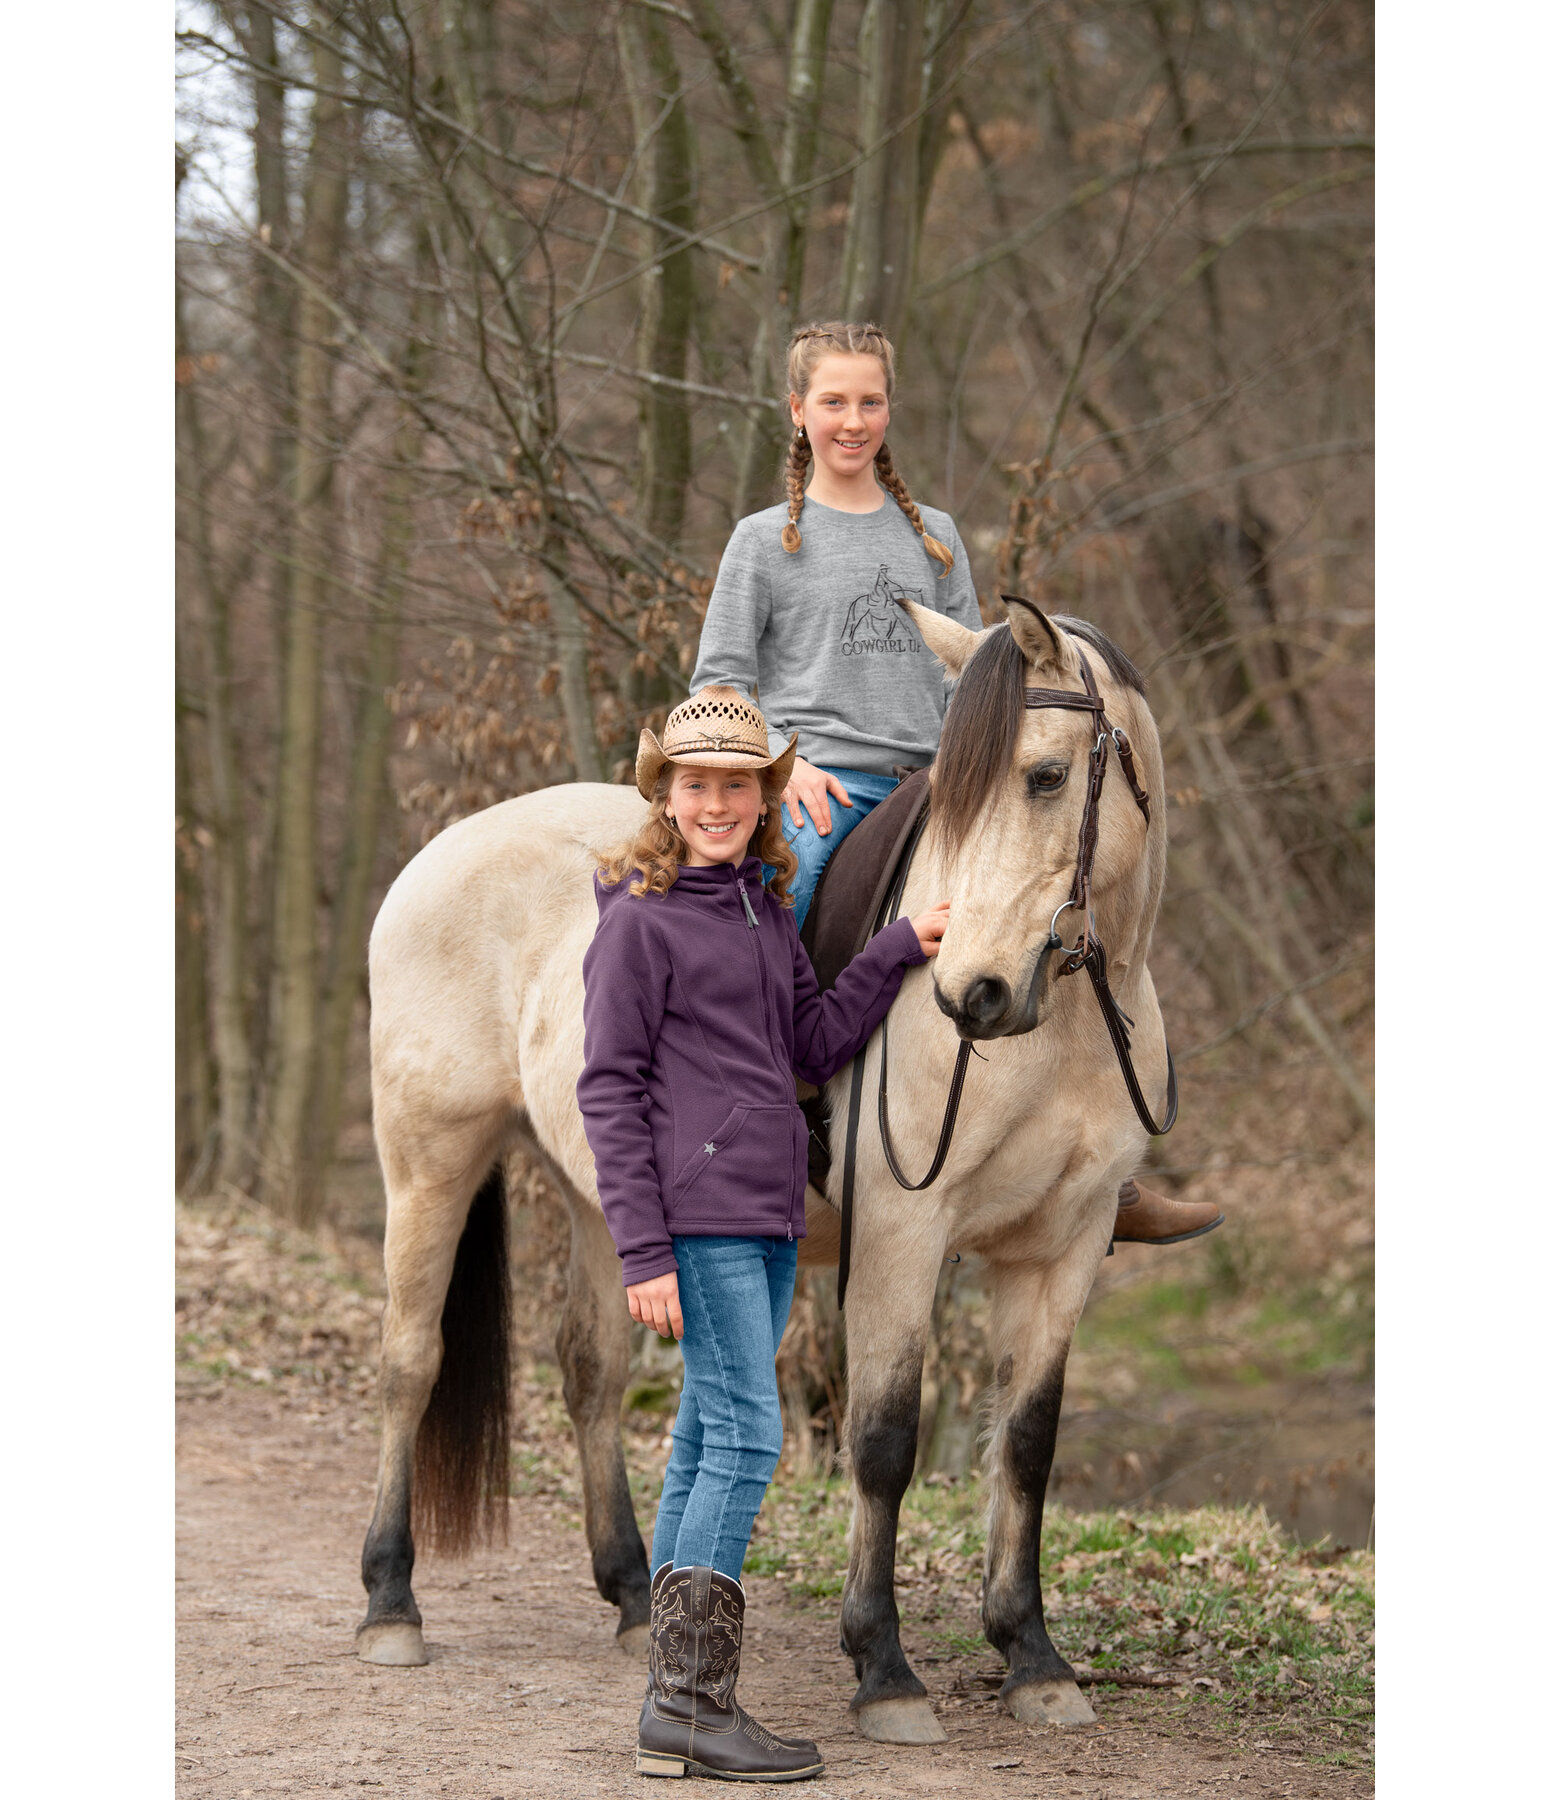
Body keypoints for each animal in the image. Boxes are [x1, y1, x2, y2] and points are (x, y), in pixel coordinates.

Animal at [354, 601, 1173, 1742]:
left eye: (1046, 777)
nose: (970, 993)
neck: (1060, 1033)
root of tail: (435, 857)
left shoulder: (1062, 1250)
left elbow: (1027, 1445)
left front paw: (1032, 1657)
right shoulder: (902, 1238)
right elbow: (882, 1441)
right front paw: (883, 1666)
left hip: (602, 1198)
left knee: (590, 1370)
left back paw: (631, 1592)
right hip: (430, 1163)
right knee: (408, 1363)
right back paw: (391, 1600)